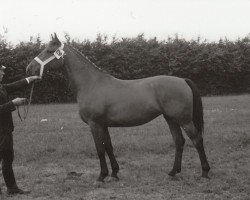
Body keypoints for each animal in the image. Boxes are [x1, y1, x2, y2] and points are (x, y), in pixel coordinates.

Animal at [26, 33, 210, 184]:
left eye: (49, 50)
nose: (29, 68)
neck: (91, 84)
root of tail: (182, 80)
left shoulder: (94, 124)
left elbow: (100, 149)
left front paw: (101, 176)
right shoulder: (104, 125)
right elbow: (109, 147)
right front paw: (114, 173)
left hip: (184, 120)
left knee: (197, 140)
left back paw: (205, 173)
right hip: (171, 119)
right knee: (179, 142)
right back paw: (173, 172)